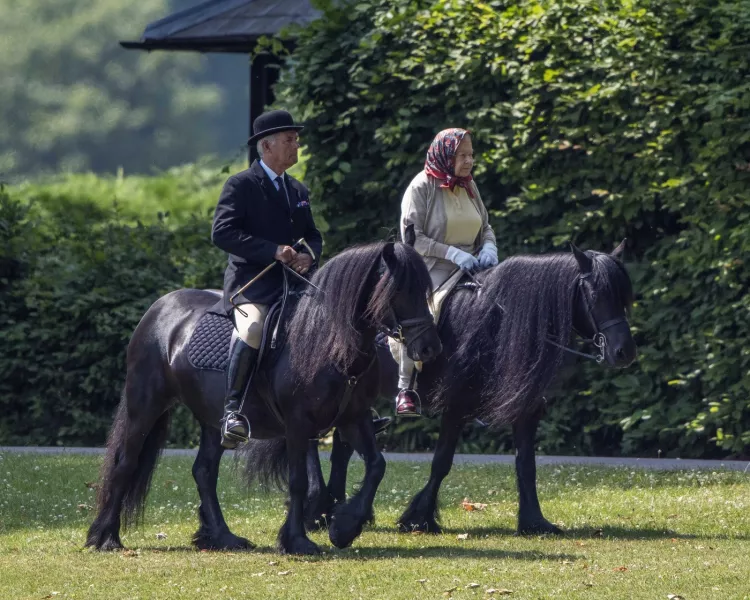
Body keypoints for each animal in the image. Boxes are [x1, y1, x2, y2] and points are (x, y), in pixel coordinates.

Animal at [85, 241, 444, 556]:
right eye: (399, 291)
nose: (430, 348)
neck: (327, 340)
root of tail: (160, 308)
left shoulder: (353, 418)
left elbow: (376, 465)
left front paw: (344, 527)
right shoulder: (298, 424)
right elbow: (299, 480)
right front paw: (297, 540)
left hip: (213, 420)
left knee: (204, 472)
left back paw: (222, 537)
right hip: (145, 405)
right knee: (127, 462)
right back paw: (106, 537)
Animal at [302, 243, 636, 536]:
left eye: (622, 295)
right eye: (594, 293)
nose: (623, 352)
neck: (496, 322)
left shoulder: (525, 410)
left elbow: (526, 465)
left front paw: (534, 522)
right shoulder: (456, 405)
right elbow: (441, 463)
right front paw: (419, 518)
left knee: (342, 446)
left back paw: (334, 508)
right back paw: (318, 509)